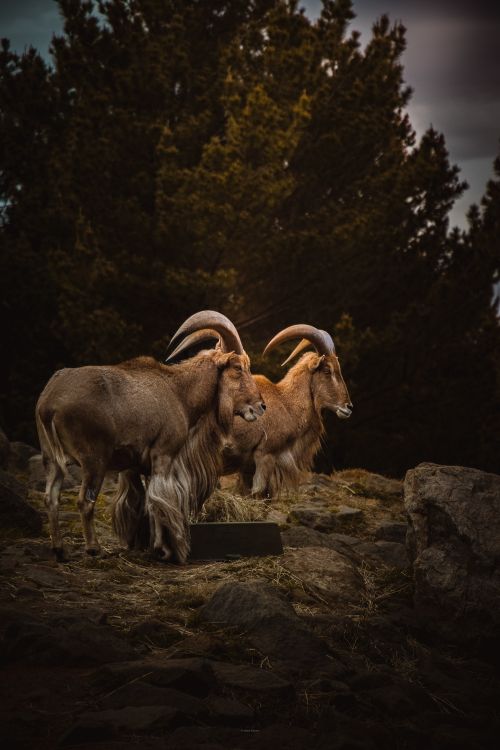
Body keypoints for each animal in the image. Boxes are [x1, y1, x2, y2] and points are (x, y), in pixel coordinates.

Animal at [35, 311, 265, 562]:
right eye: (238, 368)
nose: (261, 406)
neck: (179, 392)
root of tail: (49, 403)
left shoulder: (139, 466)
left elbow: (145, 501)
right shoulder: (163, 455)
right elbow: (158, 501)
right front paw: (164, 549)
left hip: (50, 459)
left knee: (51, 497)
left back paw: (59, 550)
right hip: (94, 461)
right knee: (84, 501)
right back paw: (94, 549)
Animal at [169, 324, 352, 498]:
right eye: (327, 370)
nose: (348, 407)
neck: (286, 404)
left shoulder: (247, 468)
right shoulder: (265, 455)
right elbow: (259, 493)